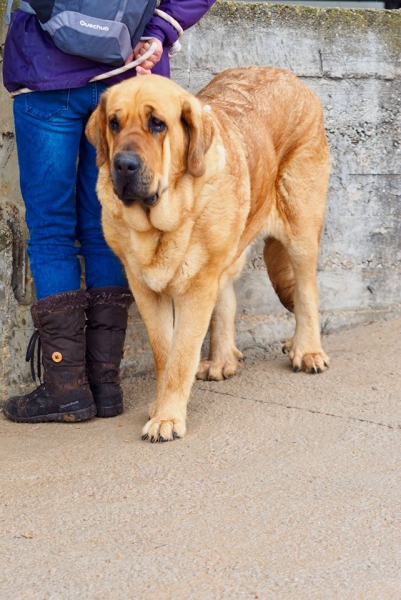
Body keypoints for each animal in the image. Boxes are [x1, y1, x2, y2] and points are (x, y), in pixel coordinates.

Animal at [86, 67, 330, 440]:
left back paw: (307, 349)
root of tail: (291, 77)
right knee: (227, 297)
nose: (124, 165)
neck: (162, 224)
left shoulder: (196, 288)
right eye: (113, 123)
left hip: (300, 227)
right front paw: (162, 406)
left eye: (157, 124)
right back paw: (221, 359)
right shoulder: (145, 288)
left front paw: (167, 417)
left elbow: (181, 355)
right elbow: (165, 353)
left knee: (305, 291)